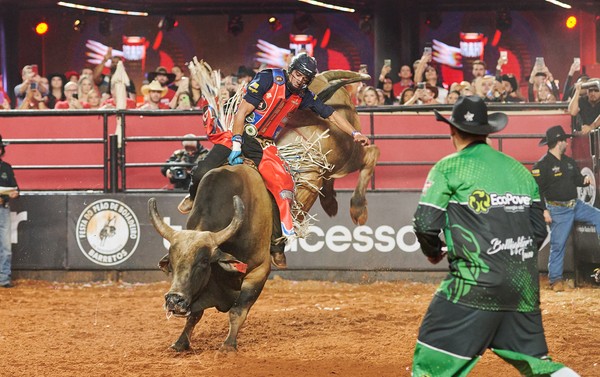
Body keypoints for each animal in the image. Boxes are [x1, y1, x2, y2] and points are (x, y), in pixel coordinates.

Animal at [149, 163, 270, 352]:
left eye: (204, 261)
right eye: (172, 263)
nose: (174, 300)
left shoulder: (259, 271)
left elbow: (237, 311)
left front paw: (228, 345)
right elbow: (194, 315)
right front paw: (180, 342)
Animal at [280, 69, 382, 225]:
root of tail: (322, 77)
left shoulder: (309, 180)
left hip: (350, 157)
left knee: (372, 153)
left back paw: (358, 209)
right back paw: (330, 203)